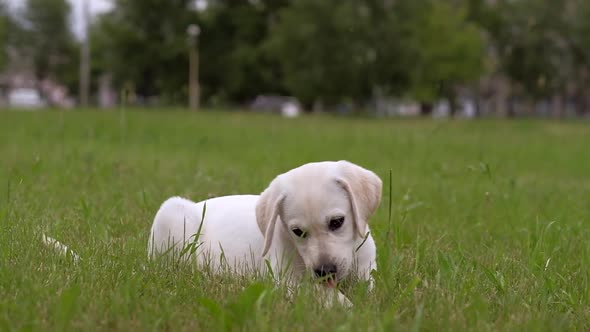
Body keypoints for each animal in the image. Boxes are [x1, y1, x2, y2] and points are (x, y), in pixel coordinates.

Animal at [146, 161, 382, 306]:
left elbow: (368, 290)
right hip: (172, 215)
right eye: (297, 232)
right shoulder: (288, 280)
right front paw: (347, 307)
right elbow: (323, 294)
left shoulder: (366, 270)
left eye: (337, 222)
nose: (325, 272)